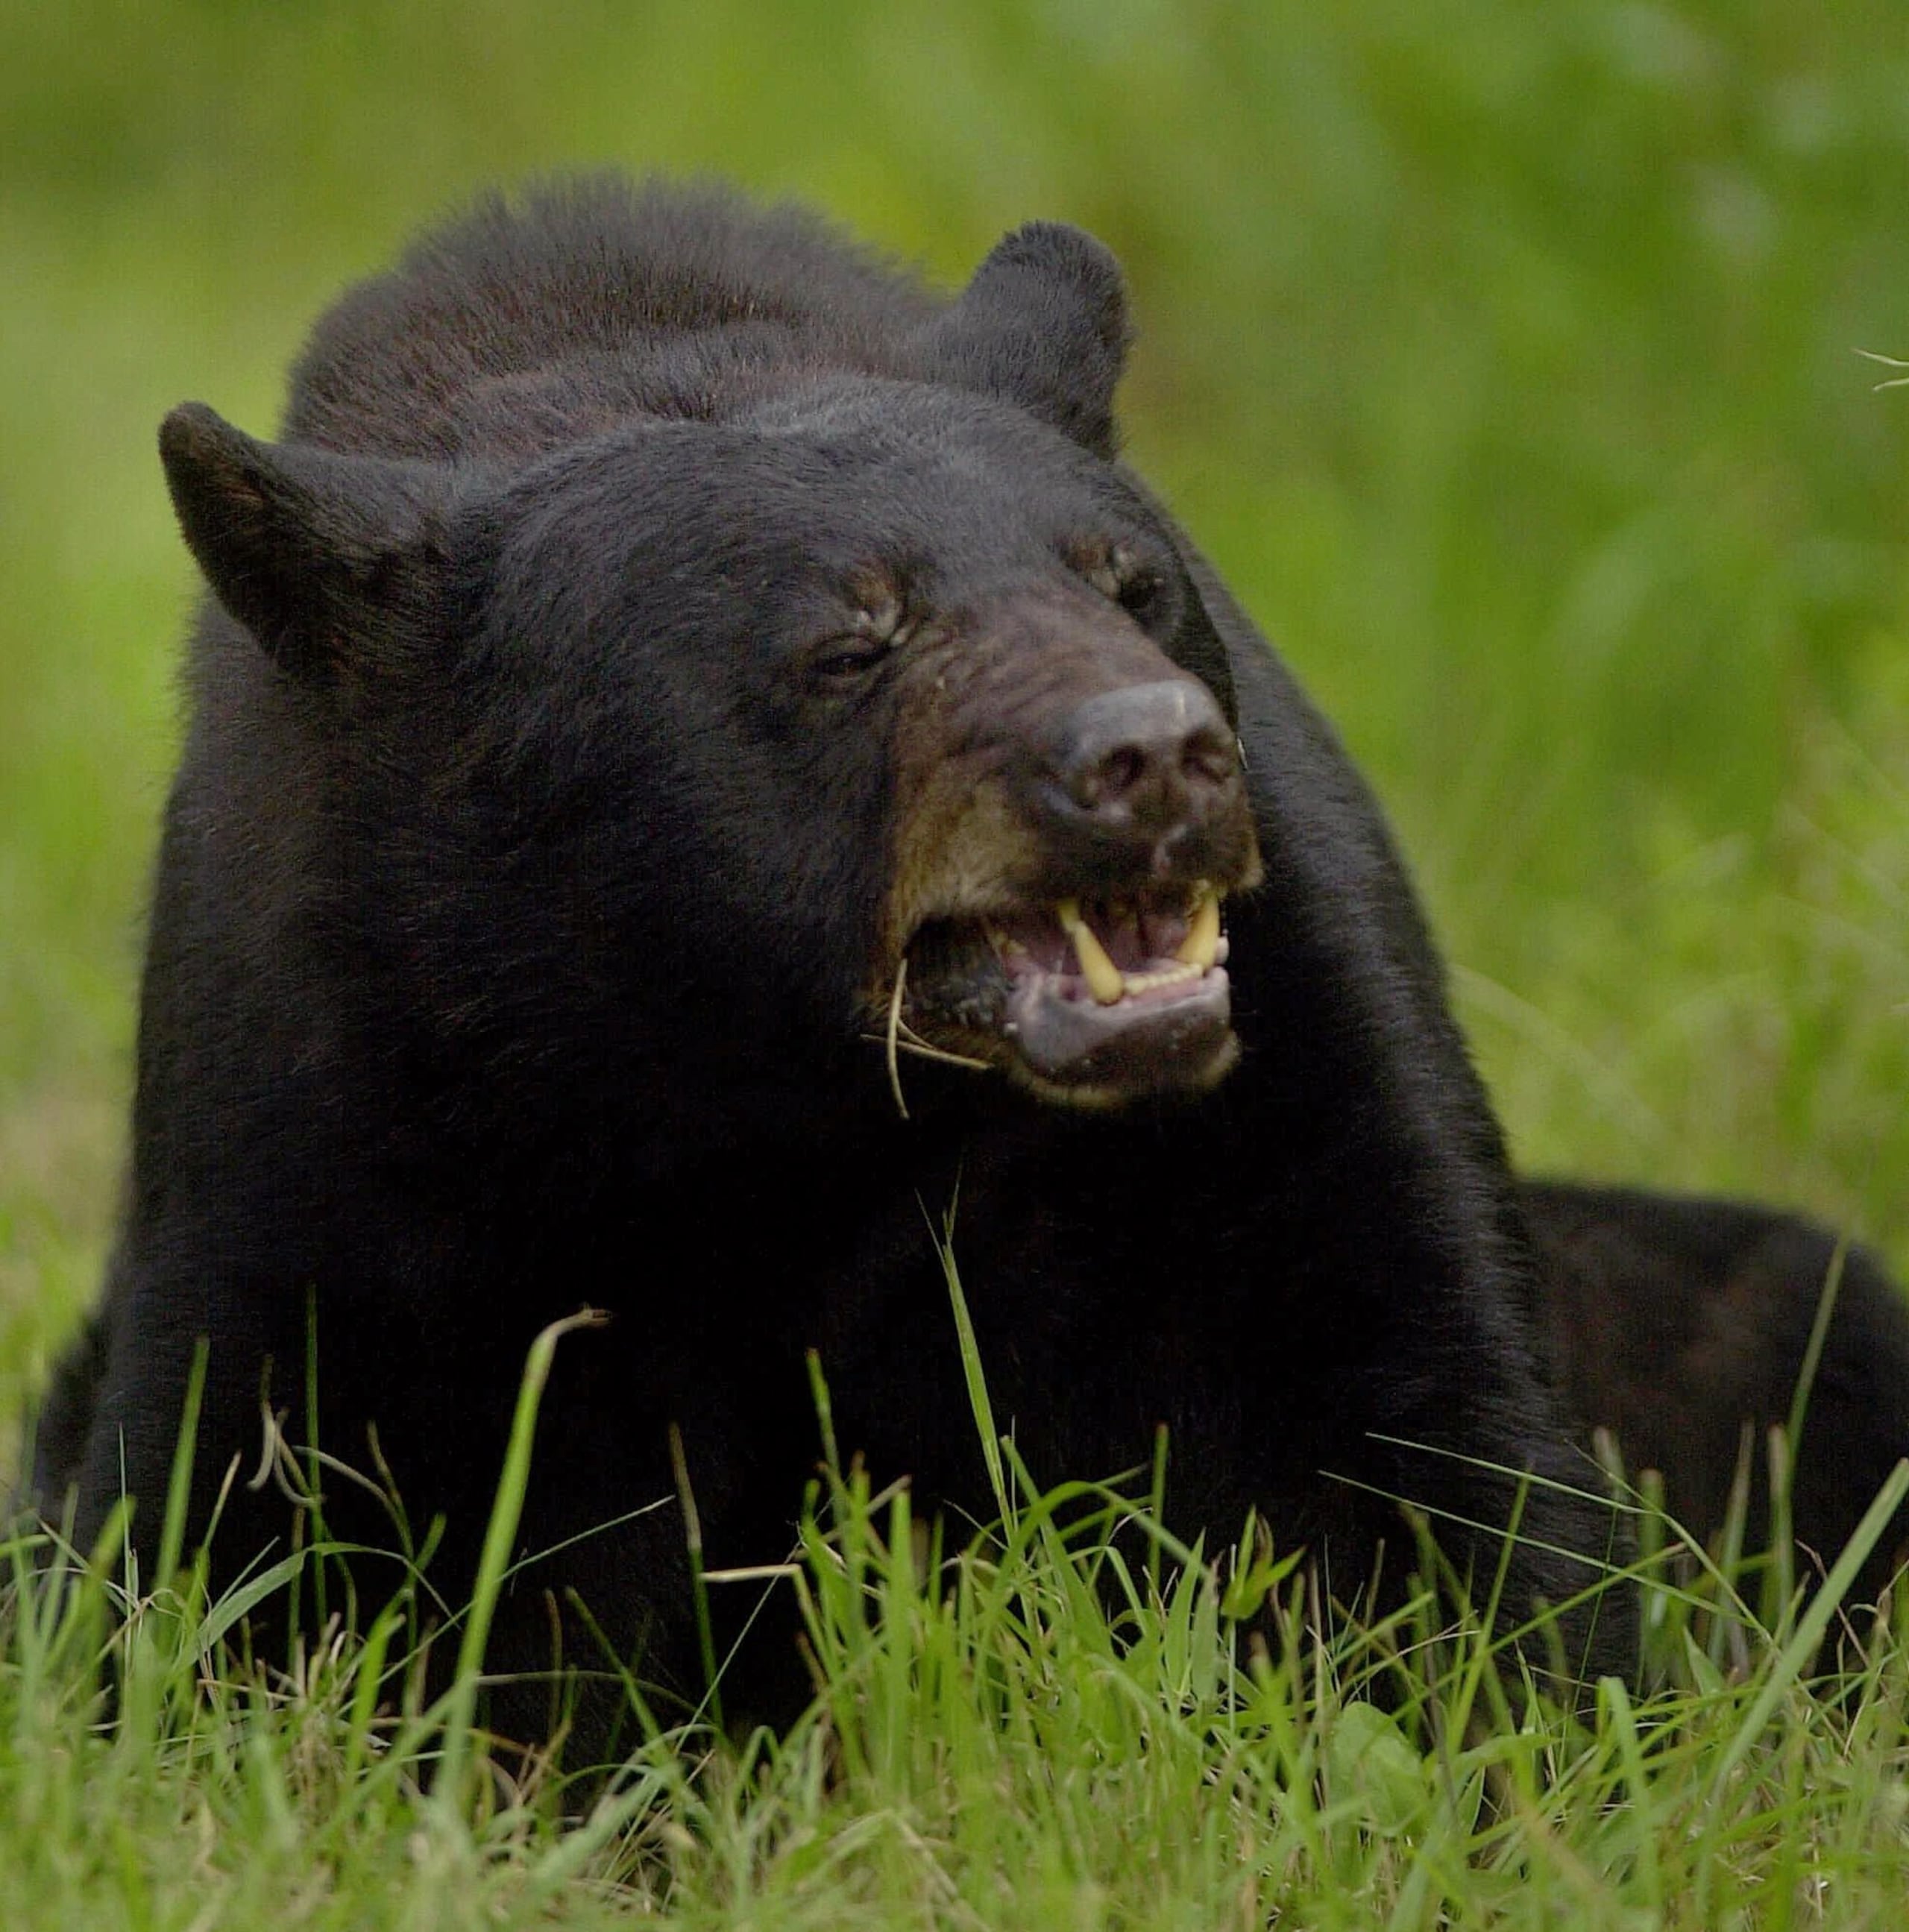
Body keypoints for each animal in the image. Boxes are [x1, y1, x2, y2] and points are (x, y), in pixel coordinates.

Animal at [31, 176, 1903, 1746]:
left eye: (1132, 579)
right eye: (847, 642)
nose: (1150, 756)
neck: (772, 1095)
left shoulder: (1276, 1079)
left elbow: (1403, 1446)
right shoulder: (341, 1101)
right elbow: (264, 1524)